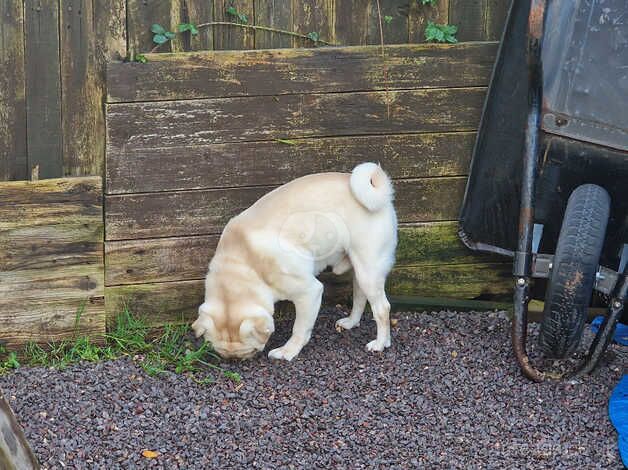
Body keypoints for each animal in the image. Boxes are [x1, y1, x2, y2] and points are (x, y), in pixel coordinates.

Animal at [191, 163, 398, 362]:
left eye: (251, 351)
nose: (235, 360)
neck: (243, 265)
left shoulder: (309, 293)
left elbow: (299, 329)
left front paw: (288, 351)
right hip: (360, 271)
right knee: (360, 297)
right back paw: (353, 323)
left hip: (368, 271)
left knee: (382, 308)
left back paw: (380, 343)